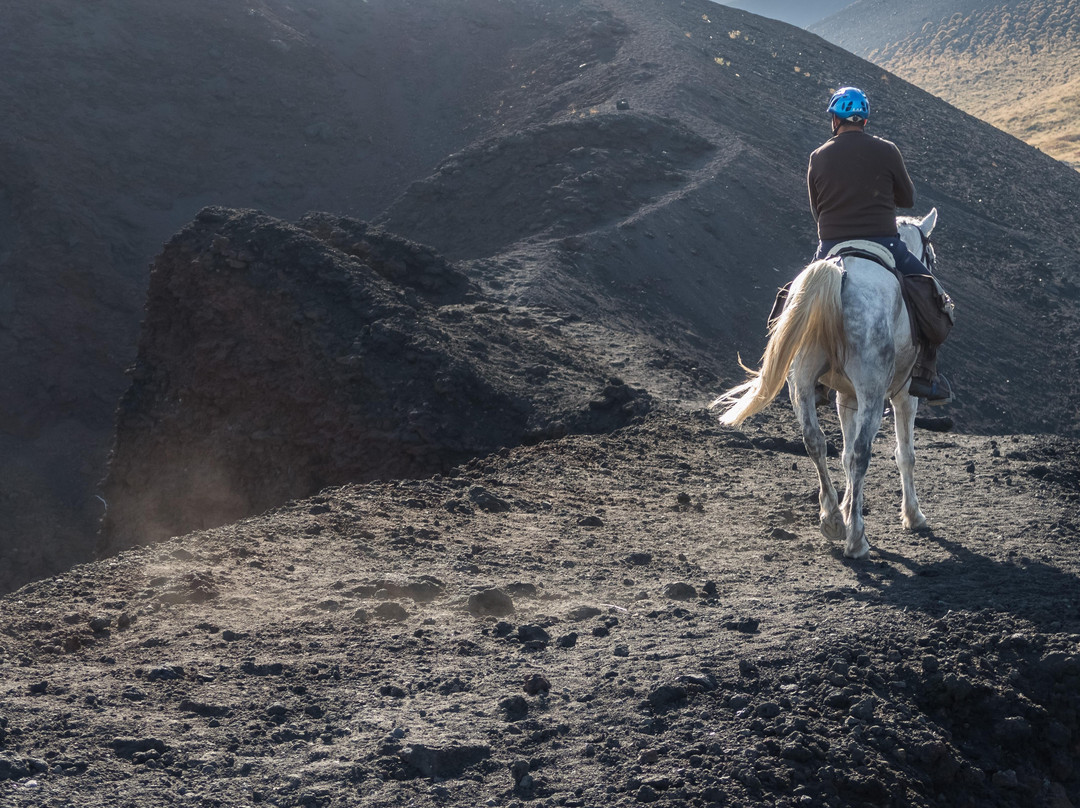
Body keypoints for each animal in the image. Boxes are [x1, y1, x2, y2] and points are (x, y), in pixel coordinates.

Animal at [708, 211, 937, 557]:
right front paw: (913, 515)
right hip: (872, 393)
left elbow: (843, 455)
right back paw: (856, 539)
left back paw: (832, 520)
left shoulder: (846, 397)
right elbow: (904, 454)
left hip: (801, 384)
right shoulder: (904, 395)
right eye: (930, 255)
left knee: (815, 441)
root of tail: (838, 272)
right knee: (861, 453)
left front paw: (845, 508)